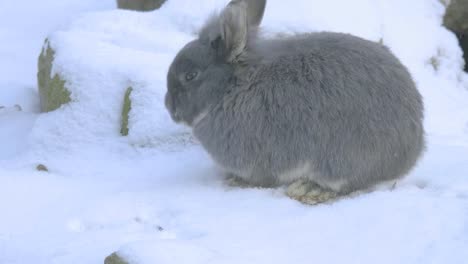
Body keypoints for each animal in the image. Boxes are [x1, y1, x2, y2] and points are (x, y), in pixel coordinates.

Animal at [165, 0, 424, 204]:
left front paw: (236, 182)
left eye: (190, 76)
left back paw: (310, 189)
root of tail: (413, 149)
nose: (169, 106)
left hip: (343, 158)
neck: (234, 87)